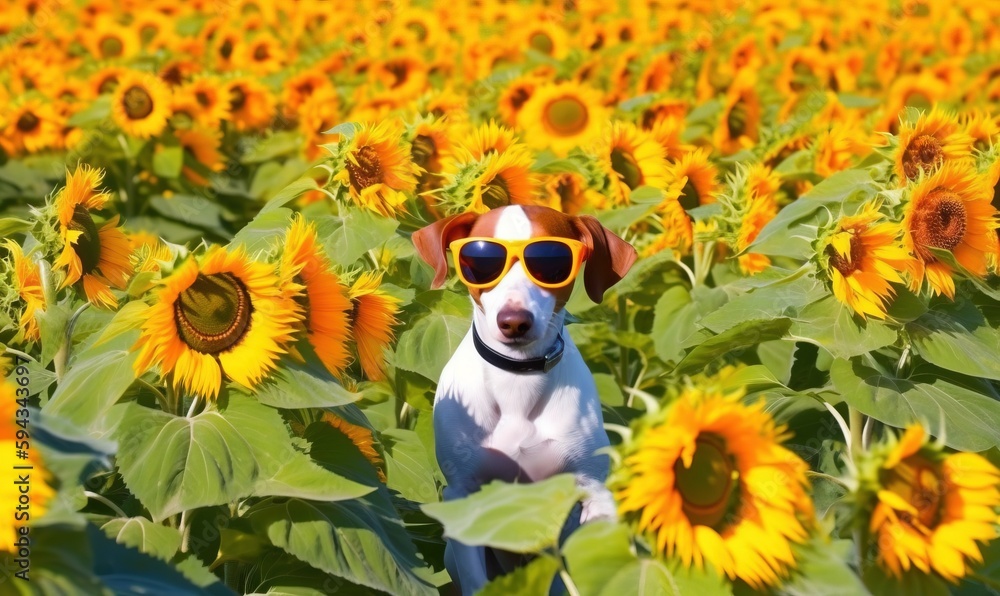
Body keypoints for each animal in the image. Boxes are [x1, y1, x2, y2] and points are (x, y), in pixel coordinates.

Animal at [412, 204, 632, 592]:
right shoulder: (462, 496)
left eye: (553, 263)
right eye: (480, 261)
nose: (514, 321)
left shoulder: (592, 491)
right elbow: (476, 581)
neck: (517, 380)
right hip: (452, 554)